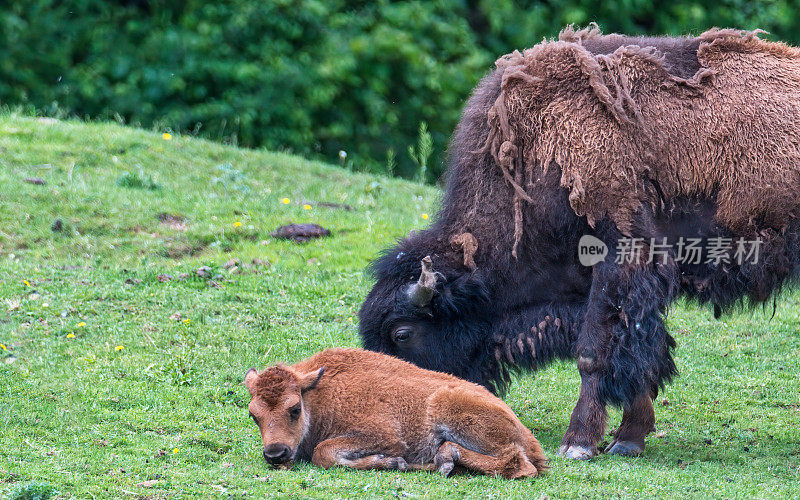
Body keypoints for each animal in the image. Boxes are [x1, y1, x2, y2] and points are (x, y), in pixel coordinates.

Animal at [244, 348, 544, 480]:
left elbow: (324, 452)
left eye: (294, 409)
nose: (275, 454)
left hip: (453, 411)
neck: (318, 392)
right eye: (253, 415)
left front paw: (389, 461)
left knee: (517, 463)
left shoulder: (385, 436)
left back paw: (444, 459)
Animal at [360, 25, 800, 458]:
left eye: (402, 333)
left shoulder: (619, 262)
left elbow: (595, 352)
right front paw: (628, 439)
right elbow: (637, 349)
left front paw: (579, 443)